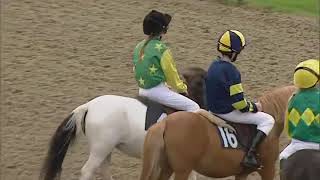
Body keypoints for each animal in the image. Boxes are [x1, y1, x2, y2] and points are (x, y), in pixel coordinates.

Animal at [39, 67, 232, 180]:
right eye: (202, 82)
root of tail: (88, 106)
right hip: (101, 148)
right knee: (88, 170)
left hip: (106, 149)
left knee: (104, 170)